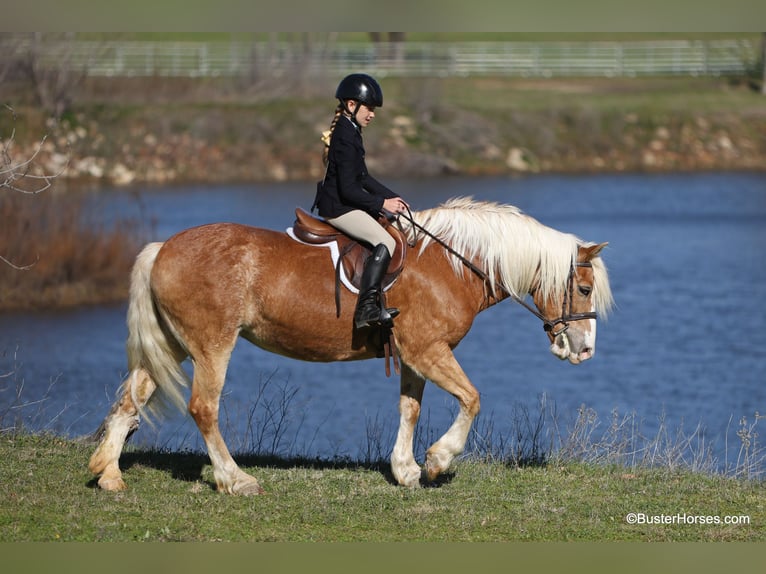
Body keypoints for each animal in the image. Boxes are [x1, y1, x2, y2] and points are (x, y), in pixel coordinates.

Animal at [87, 197, 616, 496]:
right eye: (583, 289)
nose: (585, 351)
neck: (451, 264)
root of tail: (163, 247)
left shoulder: (415, 355)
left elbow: (410, 409)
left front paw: (405, 470)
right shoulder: (429, 350)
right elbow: (471, 399)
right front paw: (437, 461)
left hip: (174, 344)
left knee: (131, 397)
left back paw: (109, 475)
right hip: (211, 344)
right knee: (203, 408)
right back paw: (235, 480)